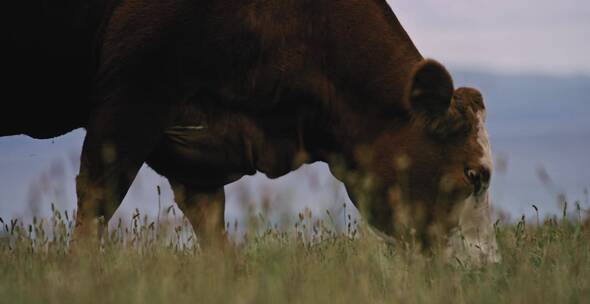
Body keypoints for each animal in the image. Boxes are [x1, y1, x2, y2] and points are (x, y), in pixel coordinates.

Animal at [1, 0, 500, 262]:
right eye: (473, 174)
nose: (487, 264)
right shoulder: (129, 98)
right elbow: (96, 205)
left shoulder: (196, 153)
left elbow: (212, 231)